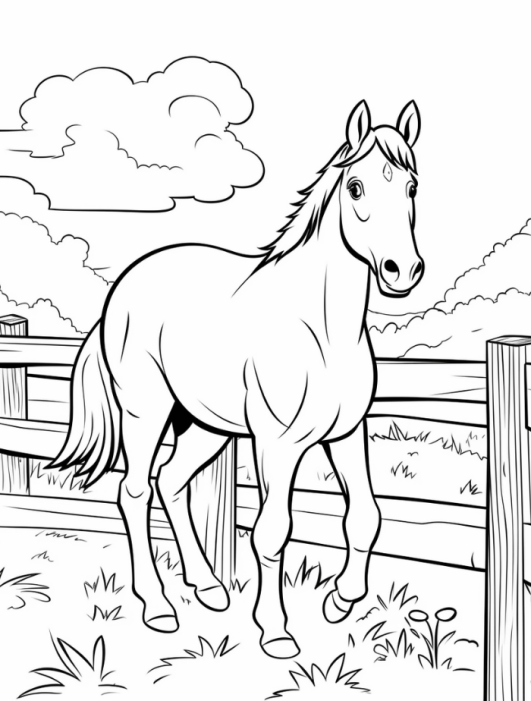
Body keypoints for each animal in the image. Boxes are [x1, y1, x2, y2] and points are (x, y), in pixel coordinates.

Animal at [51, 99, 423, 660]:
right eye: (356, 187)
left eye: (411, 186)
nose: (402, 270)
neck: (323, 328)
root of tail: (122, 288)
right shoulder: (277, 444)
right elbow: (272, 531)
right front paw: (276, 632)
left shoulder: (345, 434)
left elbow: (365, 515)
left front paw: (340, 600)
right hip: (145, 410)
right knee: (135, 491)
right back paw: (158, 607)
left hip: (207, 426)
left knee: (171, 482)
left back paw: (208, 587)